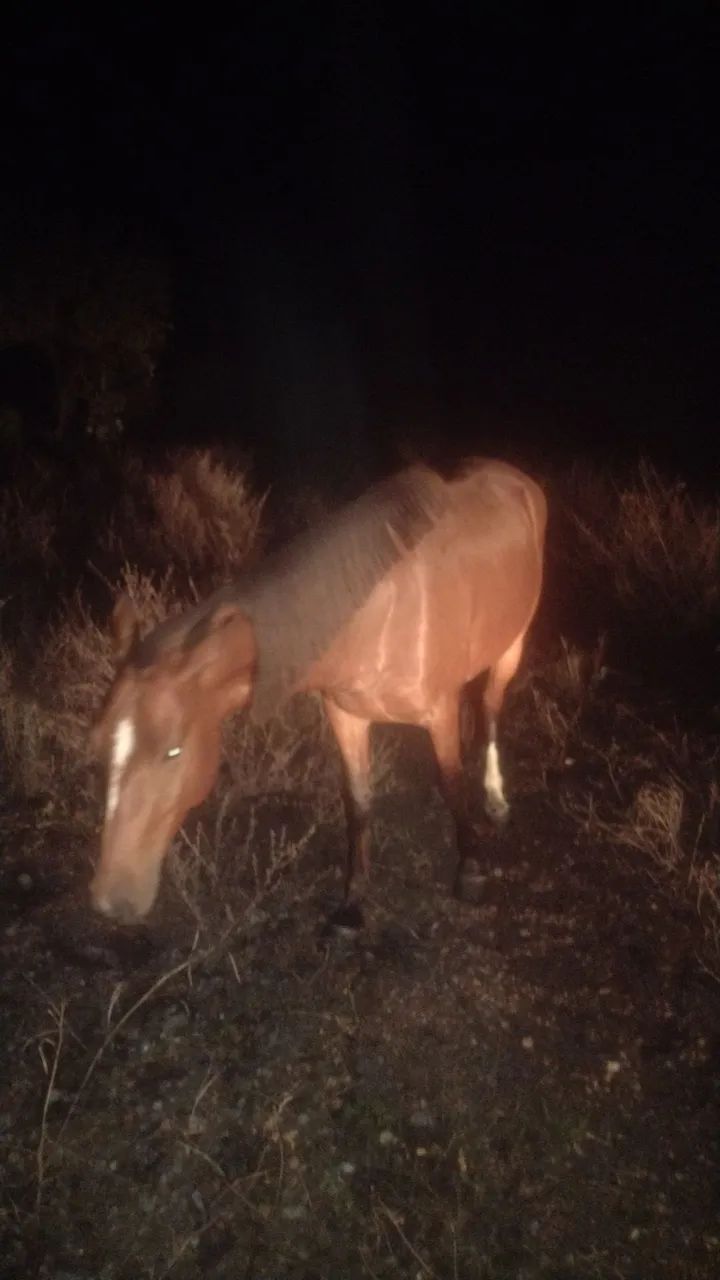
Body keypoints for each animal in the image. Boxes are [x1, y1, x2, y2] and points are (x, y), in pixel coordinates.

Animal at [90, 458, 547, 924]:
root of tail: (512, 476)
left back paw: (495, 799)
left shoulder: (439, 713)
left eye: (173, 751)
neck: (375, 617)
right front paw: (353, 901)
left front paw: (469, 869)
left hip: (512, 645)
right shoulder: (346, 716)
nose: (111, 901)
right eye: (99, 745)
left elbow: (451, 785)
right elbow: (358, 801)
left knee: (490, 708)